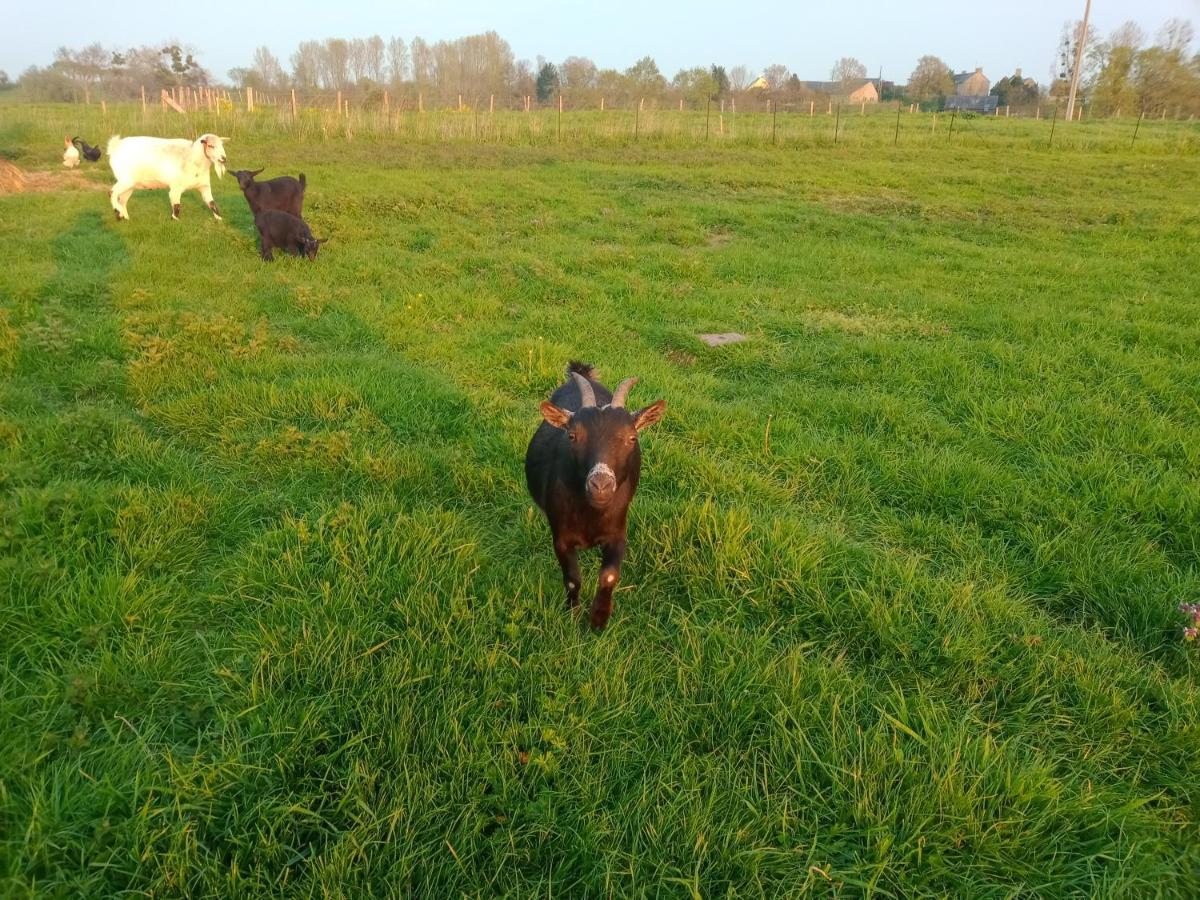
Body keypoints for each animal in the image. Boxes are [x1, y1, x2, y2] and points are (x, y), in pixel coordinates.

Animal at [525, 362, 667, 628]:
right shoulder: (561, 538)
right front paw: (572, 615)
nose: (600, 484)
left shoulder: (618, 532)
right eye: (572, 436)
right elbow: (573, 579)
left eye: (632, 438)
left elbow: (609, 576)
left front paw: (599, 620)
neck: (591, 513)